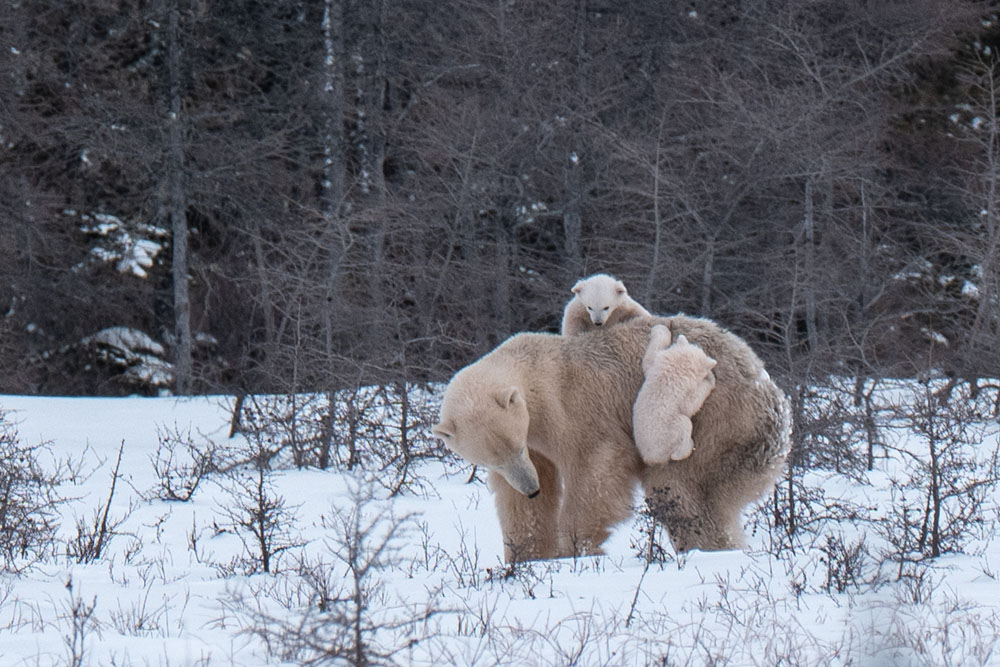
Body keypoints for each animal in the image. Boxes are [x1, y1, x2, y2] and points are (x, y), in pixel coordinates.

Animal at [636, 328, 716, 464]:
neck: (676, 366)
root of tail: (651, 458)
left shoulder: (656, 366)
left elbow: (649, 359)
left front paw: (660, 329)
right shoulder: (680, 391)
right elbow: (690, 405)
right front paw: (710, 378)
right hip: (670, 431)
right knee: (684, 424)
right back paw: (686, 449)